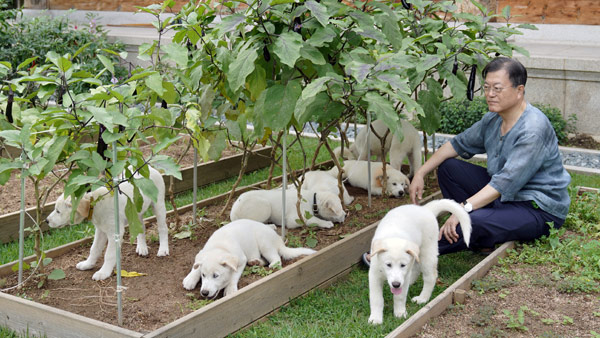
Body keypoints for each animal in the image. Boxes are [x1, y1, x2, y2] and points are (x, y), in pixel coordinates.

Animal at [183, 218, 316, 298]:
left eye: (216, 276)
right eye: (203, 275)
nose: (204, 293)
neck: (220, 247)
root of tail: (279, 240)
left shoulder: (241, 260)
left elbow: (234, 276)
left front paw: (230, 289)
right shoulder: (202, 253)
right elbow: (196, 266)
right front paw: (190, 279)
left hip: (265, 243)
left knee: (276, 258)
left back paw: (272, 264)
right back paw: (255, 262)